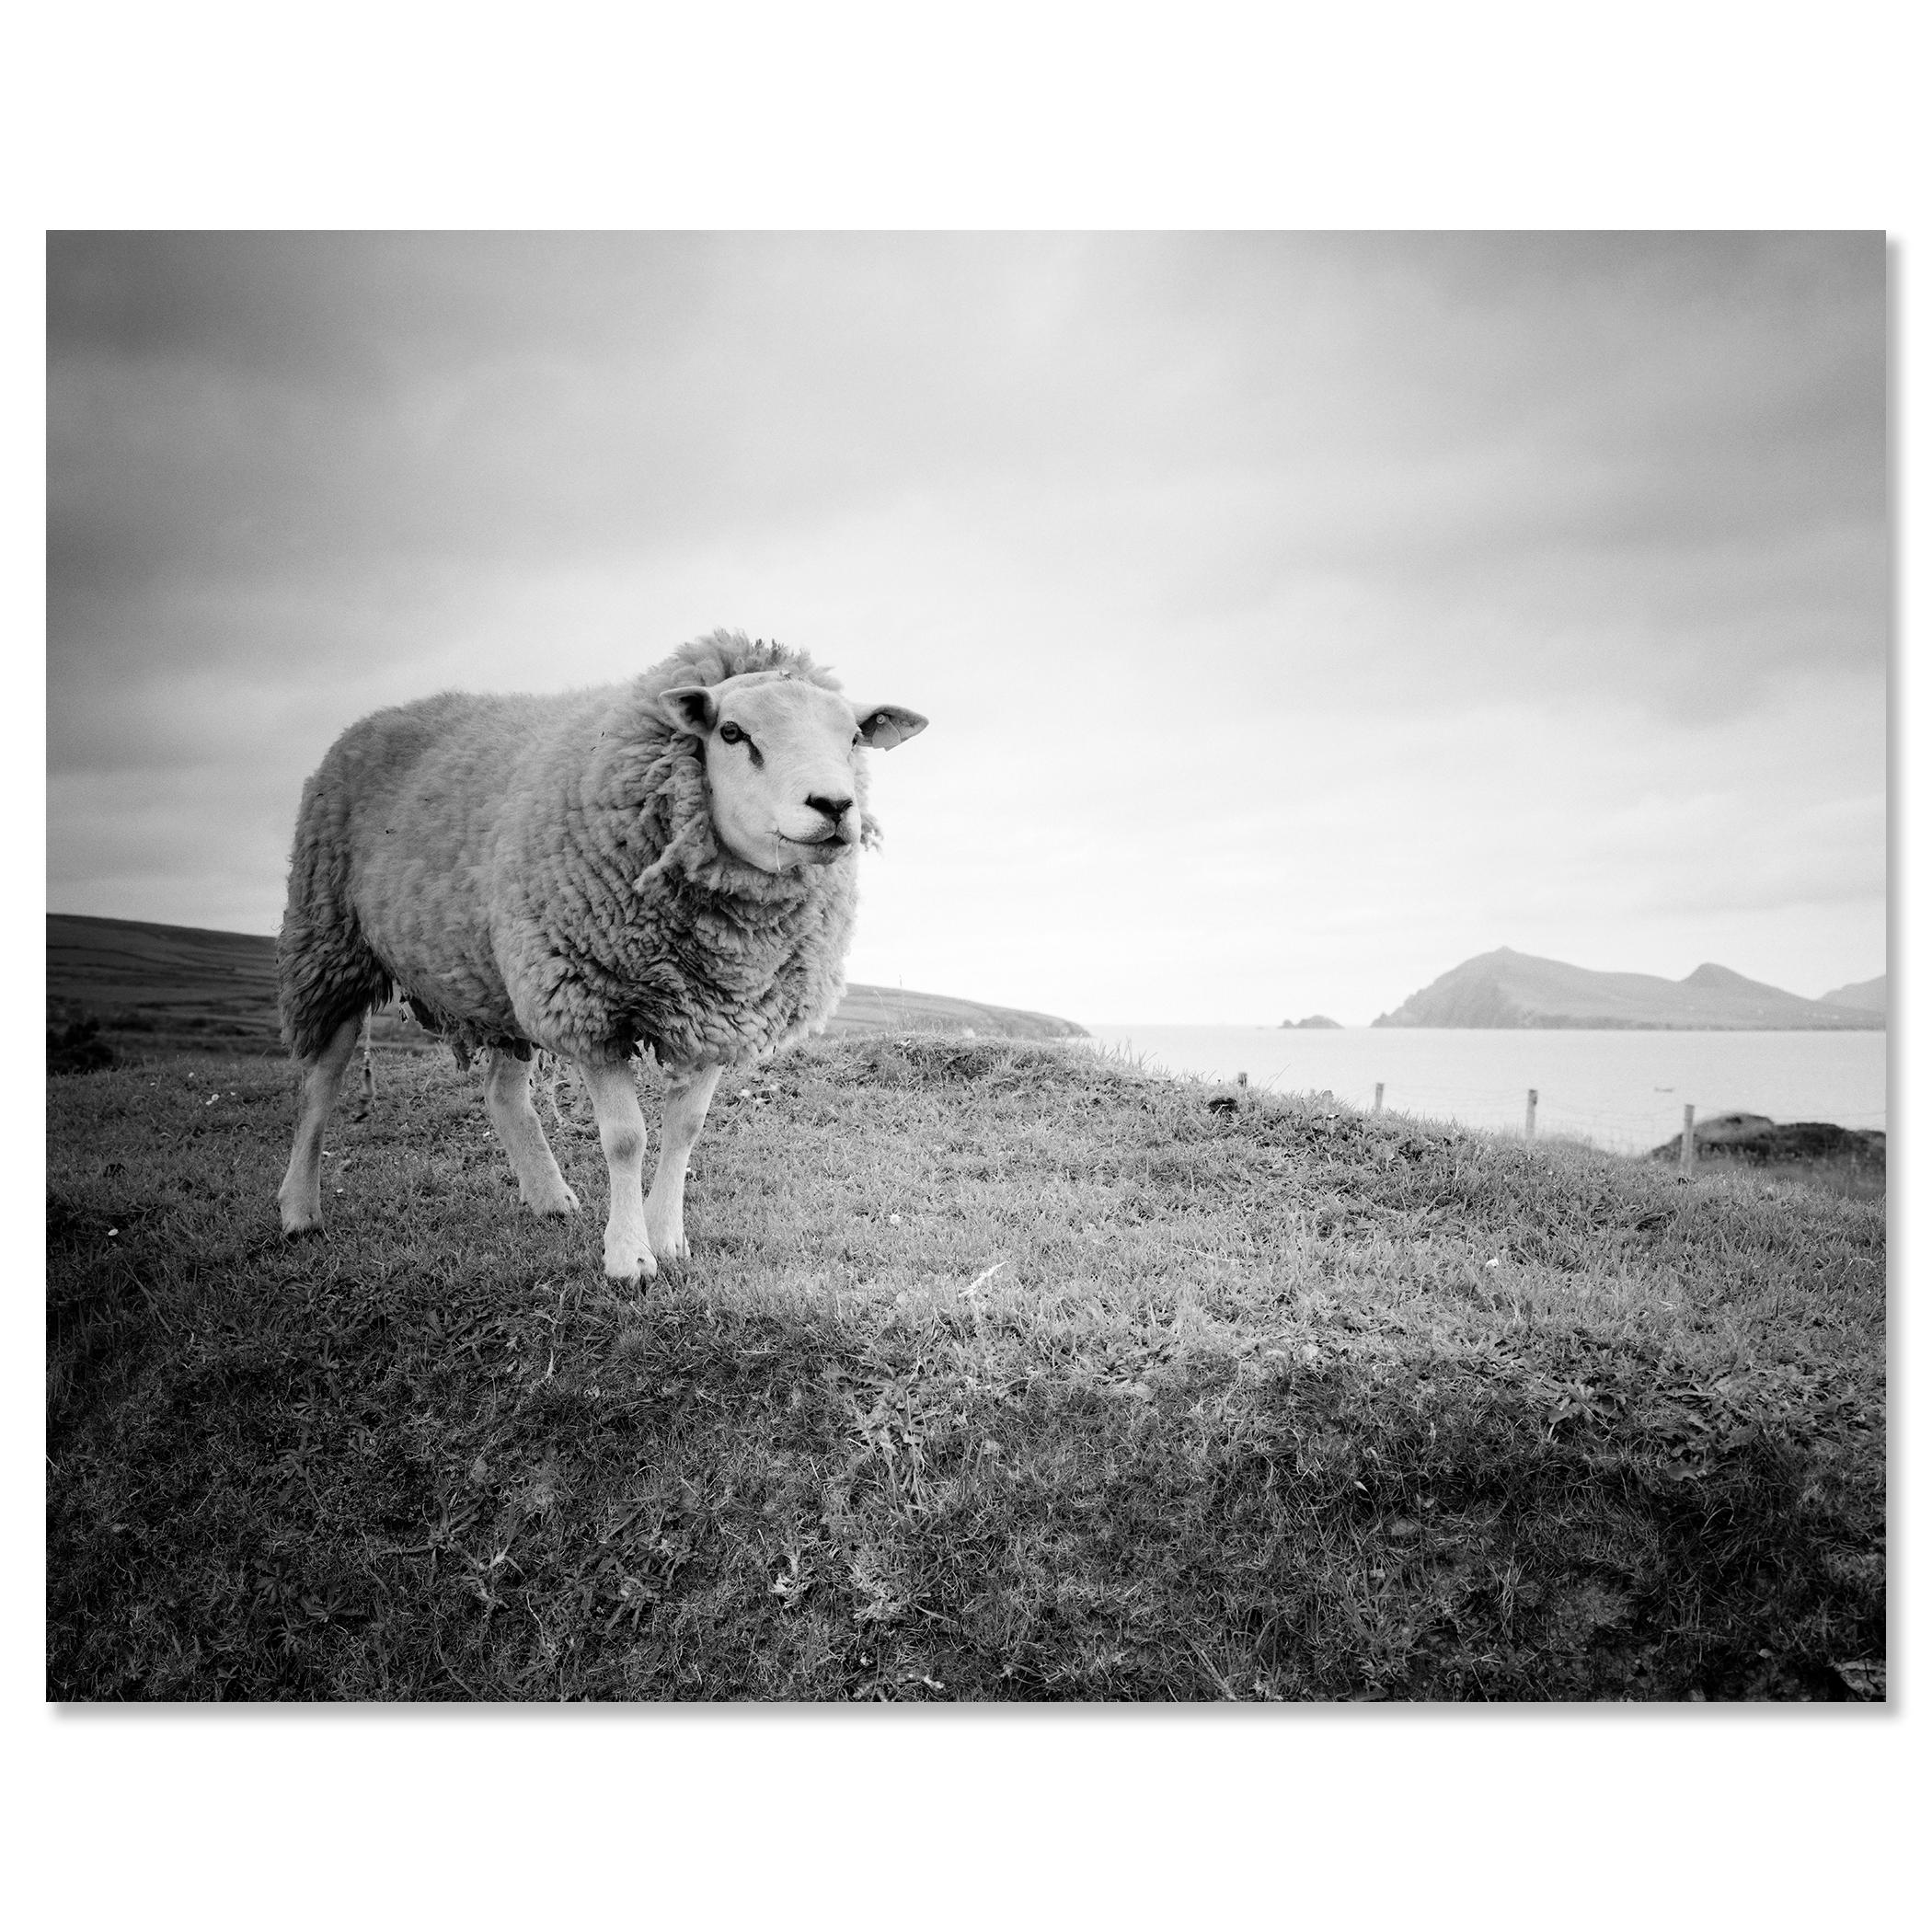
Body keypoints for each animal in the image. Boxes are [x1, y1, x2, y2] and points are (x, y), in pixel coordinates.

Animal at [274, 628, 926, 1283]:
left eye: (853, 738)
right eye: (732, 732)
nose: (834, 806)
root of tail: (371, 719)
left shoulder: (718, 1009)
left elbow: (686, 1128)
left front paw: (668, 1238)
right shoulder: (589, 1000)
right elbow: (625, 1137)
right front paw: (629, 1257)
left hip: (505, 976)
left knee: (502, 1094)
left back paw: (548, 1197)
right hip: (331, 940)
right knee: (319, 1085)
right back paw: (299, 1211)